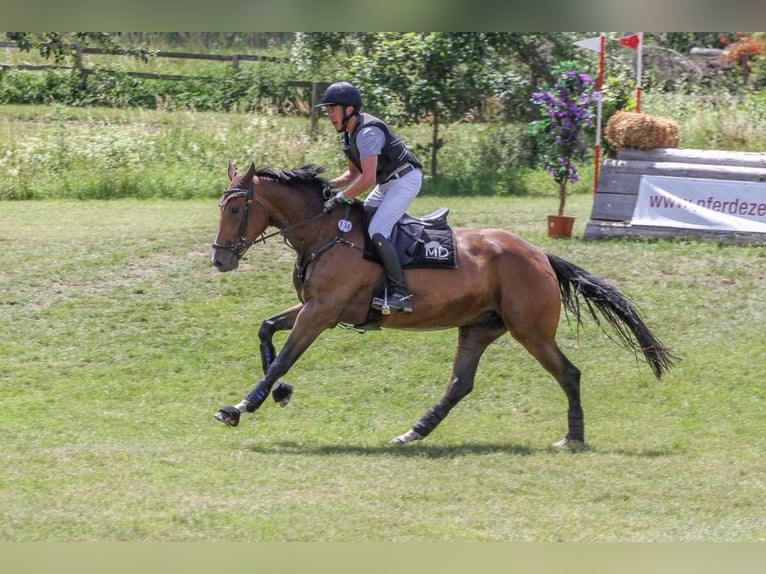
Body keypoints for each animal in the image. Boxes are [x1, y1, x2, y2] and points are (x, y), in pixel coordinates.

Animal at [210, 162, 677, 447]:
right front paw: (278, 394)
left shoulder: (321, 312)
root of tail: (541, 256)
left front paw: (239, 407)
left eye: (235, 208)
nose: (220, 259)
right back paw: (413, 433)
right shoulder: (316, 308)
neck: (324, 233)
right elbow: (267, 330)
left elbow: (282, 359)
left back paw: (573, 437)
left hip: (530, 330)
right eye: (220, 206)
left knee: (568, 373)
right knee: (460, 384)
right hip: (478, 326)